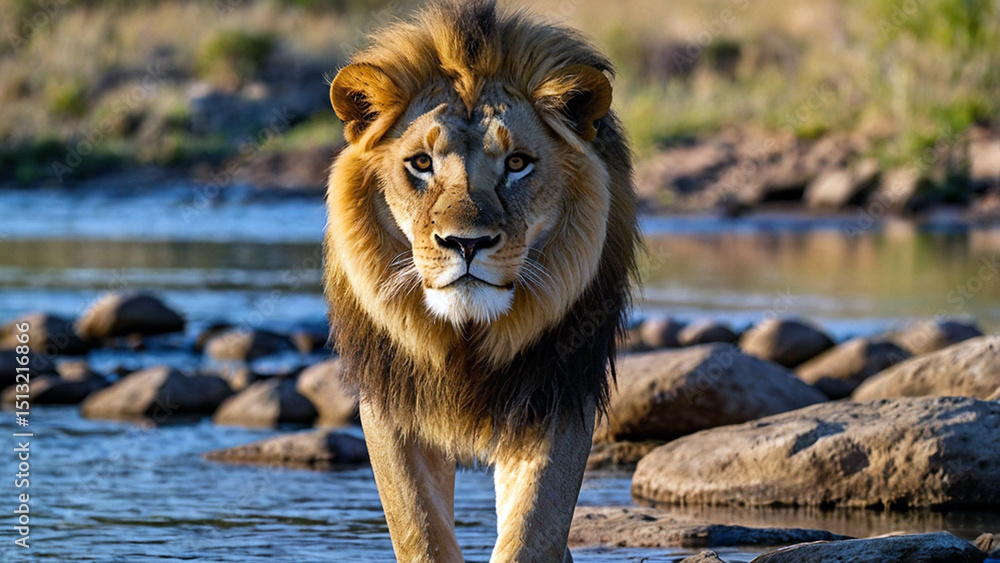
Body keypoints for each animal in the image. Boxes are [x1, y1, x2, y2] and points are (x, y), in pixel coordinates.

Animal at [323, 1, 638, 561]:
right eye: (421, 163)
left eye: (517, 163)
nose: (466, 244)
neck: (467, 335)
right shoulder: (391, 400)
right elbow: (419, 530)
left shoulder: (559, 390)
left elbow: (532, 531)